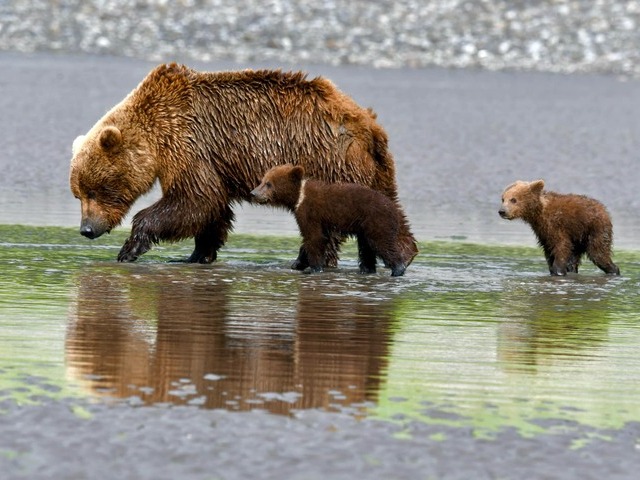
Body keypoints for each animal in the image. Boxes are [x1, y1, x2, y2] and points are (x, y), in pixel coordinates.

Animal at [69, 62, 416, 266]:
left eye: (96, 189)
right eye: (78, 193)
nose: (86, 229)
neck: (155, 133)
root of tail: (368, 124)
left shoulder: (188, 142)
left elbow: (194, 198)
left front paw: (130, 247)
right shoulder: (206, 157)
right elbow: (212, 208)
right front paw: (196, 255)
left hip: (327, 161)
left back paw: (309, 262)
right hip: (374, 172)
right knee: (387, 211)